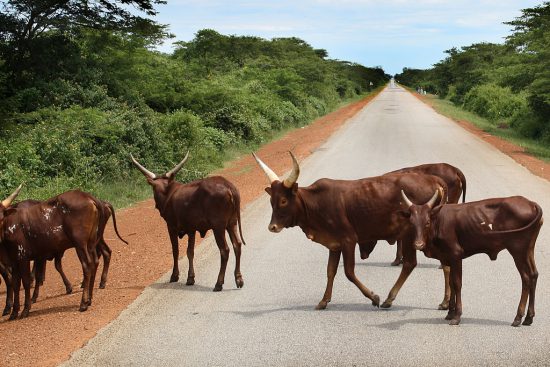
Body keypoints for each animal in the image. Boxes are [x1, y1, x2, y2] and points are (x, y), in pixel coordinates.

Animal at [0, 187, 104, 320]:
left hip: (80, 244)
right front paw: (14, 312)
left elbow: (26, 282)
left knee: (87, 265)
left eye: (1, 217)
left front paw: (25, 309)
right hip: (90, 244)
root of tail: (87, 196)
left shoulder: (23, 257)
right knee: (95, 262)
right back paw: (89, 299)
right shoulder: (14, 261)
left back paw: (83, 303)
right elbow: (15, 284)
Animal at [132, 151, 246, 292]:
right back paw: (239, 279)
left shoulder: (171, 227)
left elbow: (175, 251)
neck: (168, 193)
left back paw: (218, 283)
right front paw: (190, 278)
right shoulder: (191, 228)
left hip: (218, 226)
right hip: (232, 223)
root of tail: (228, 186)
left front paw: (174, 275)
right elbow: (190, 252)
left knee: (225, 250)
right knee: (237, 245)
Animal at [253, 152, 448, 310]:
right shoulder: (334, 245)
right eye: (272, 200)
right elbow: (330, 271)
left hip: (412, 235)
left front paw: (374, 297)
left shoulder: (349, 240)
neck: (316, 203)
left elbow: (349, 272)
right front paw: (323, 301)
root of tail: (434, 180)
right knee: (440, 264)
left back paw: (389, 299)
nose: (272, 227)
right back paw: (444, 302)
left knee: (411, 264)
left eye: (284, 200)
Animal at [398, 193, 544, 328]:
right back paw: (529, 318)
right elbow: (451, 282)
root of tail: (530, 203)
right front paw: (450, 313)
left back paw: (518, 317)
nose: (418, 244)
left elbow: (457, 284)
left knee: (526, 278)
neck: (438, 222)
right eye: (412, 223)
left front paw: (457, 316)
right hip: (529, 249)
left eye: (427, 222)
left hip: (517, 250)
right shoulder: (448, 258)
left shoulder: (456, 255)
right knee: (534, 274)